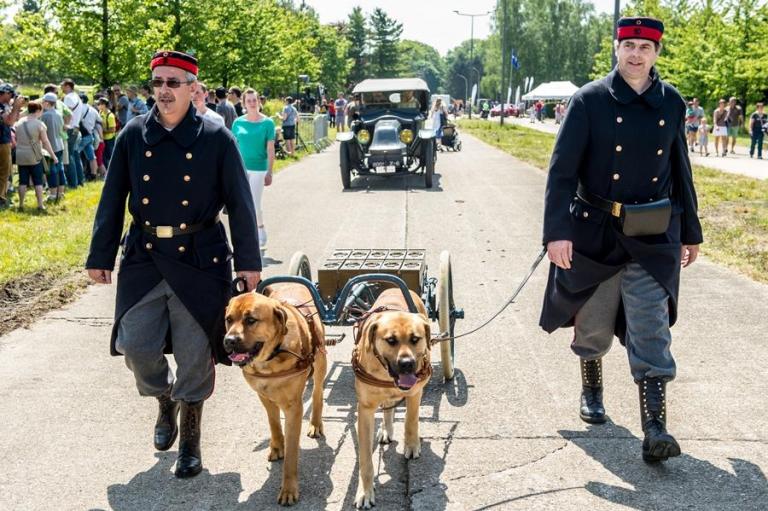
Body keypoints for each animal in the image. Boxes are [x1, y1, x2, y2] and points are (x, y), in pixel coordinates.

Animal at [225, 284, 328, 508]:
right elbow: (273, 423)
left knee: (318, 393)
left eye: (251, 320)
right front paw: (277, 445)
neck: (271, 357)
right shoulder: (263, 395)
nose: (229, 340)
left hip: (320, 363)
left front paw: (288, 489)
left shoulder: (294, 408)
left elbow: (291, 457)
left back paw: (315, 423)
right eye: (228, 319)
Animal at [354, 288, 432, 508]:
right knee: (388, 406)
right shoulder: (365, 409)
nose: (407, 363)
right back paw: (386, 429)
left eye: (415, 339)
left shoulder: (415, 392)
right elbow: (365, 460)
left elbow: (411, 421)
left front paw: (412, 445)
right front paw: (365, 492)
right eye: (391, 340)